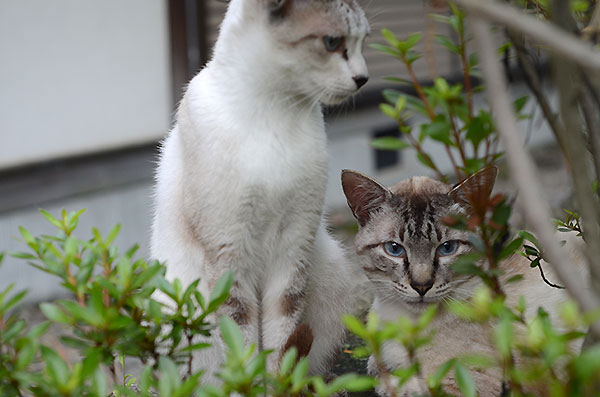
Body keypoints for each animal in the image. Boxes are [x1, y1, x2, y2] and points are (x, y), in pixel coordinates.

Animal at [150, 0, 368, 380]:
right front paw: (250, 384)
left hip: (331, 268)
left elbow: (281, 341)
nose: (363, 77)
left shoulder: (293, 247)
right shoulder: (230, 254)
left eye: (362, 42)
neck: (274, 110)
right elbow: (244, 342)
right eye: (331, 42)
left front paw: (277, 384)